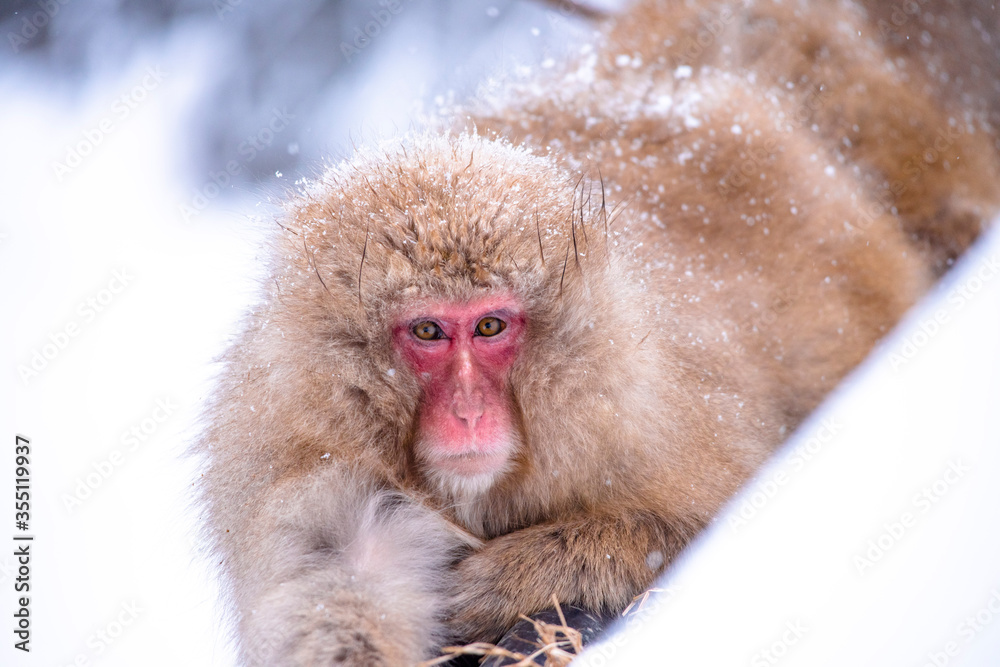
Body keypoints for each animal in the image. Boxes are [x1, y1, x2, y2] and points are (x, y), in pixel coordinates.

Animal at [195, 1, 1000, 665]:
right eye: (427, 330)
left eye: (490, 325)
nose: (467, 413)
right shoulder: (303, 461)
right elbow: (335, 591)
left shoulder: (638, 417)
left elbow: (712, 518)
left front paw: (524, 577)